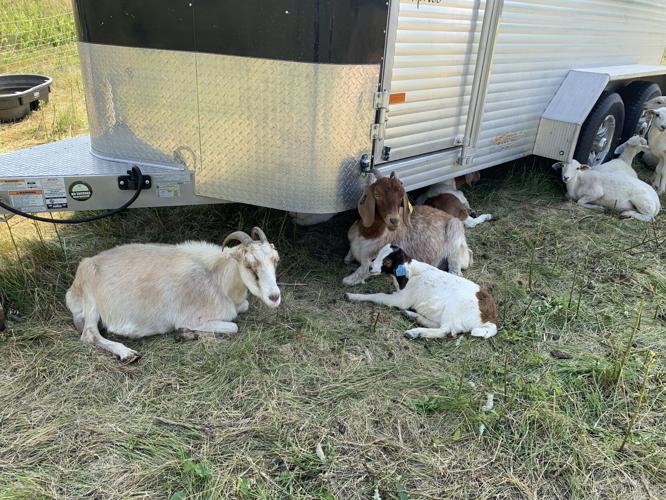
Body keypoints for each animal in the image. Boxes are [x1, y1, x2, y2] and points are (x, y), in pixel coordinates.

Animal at [65, 227, 281, 361]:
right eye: (249, 265)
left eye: (275, 260)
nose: (274, 297)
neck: (218, 278)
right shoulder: (194, 318)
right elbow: (234, 327)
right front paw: (185, 333)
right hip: (90, 301)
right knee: (89, 334)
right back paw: (127, 353)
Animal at [343, 171, 472, 285]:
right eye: (377, 195)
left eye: (401, 197)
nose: (394, 220)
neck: (368, 233)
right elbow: (348, 256)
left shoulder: (373, 257)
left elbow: (359, 273)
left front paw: (349, 279)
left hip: (454, 229)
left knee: (456, 271)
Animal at [346, 244, 497, 340]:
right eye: (377, 254)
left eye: (388, 260)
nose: (370, 267)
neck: (411, 272)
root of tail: (489, 318)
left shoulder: (402, 299)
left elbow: (379, 296)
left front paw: (352, 296)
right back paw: (413, 316)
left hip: (453, 309)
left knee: (445, 330)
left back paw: (416, 332)